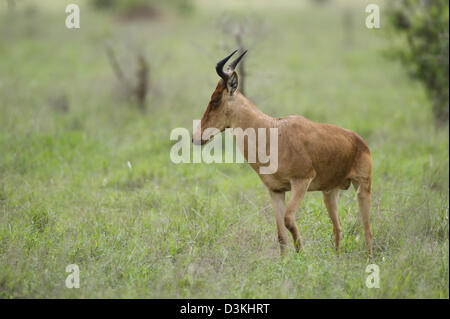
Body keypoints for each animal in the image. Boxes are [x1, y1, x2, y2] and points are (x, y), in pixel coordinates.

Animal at [193, 50, 372, 258]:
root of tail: (360, 141)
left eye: (215, 100)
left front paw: (301, 257)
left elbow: (289, 220)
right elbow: (280, 234)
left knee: (367, 230)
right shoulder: (276, 191)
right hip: (330, 192)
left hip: (363, 186)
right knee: (338, 227)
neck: (273, 132)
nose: (196, 137)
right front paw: (285, 262)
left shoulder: (301, 181)